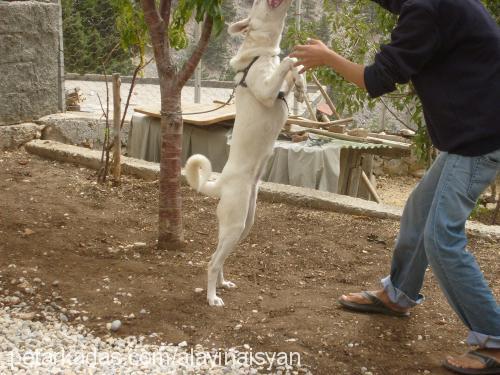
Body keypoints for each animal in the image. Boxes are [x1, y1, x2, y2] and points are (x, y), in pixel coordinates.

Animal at [185, 0, 304, 306]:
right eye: (258, 2)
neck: (261, 53)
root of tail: (220, 184)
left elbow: (295, 70)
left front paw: (301, 83)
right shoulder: (266, 91)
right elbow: (288, 61)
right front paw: (293, 67)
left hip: (243, 225)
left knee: (219, 257)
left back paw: (223, 283)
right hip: (236, 223)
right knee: (211, 262)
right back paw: (212, 298)